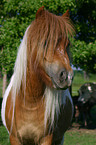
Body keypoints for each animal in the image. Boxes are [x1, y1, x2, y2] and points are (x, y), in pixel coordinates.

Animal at [1, 6, 74, 145]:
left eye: (67, 44)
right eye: (45, 42)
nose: (67, 76)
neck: (30, 103)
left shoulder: (47, 139)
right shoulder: (14, 138)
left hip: (59, 139)